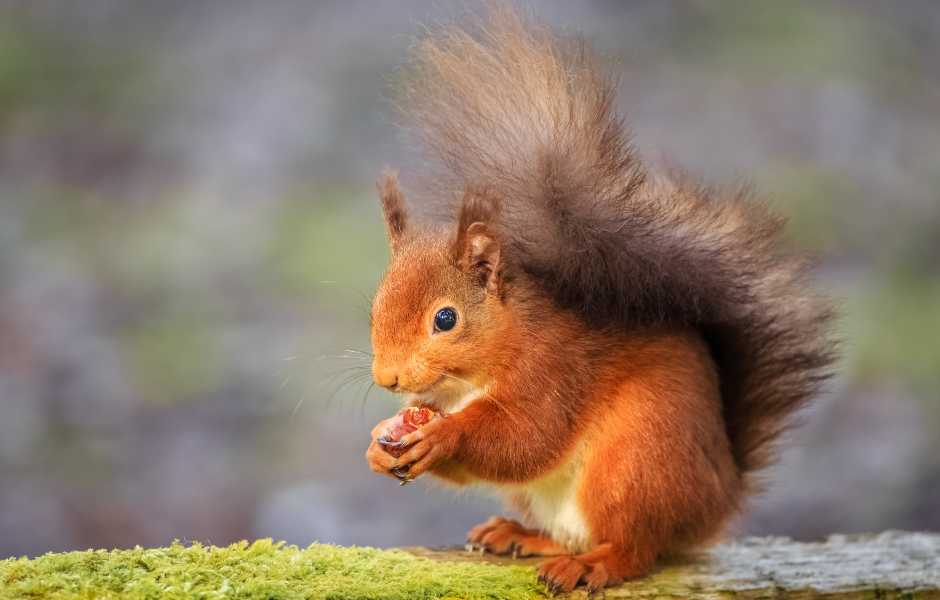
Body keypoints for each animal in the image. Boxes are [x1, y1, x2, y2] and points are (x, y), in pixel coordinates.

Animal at [363, 4, 836, 593]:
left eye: (445, 319)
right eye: (375, 306)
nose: (387, 379)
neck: (470, 380)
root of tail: (716, 499)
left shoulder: (556, 369)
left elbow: (527, 439)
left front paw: (442, 436)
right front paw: (381, 444)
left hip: (634, 463)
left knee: (633, 549)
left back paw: (593, 565)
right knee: (571, 534)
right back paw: (521, 535)